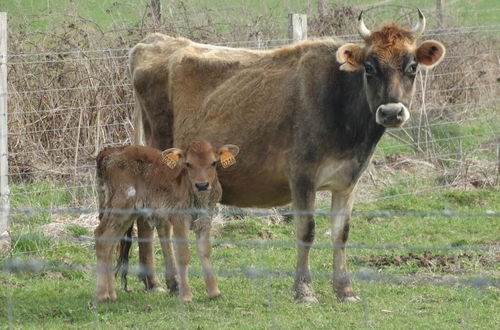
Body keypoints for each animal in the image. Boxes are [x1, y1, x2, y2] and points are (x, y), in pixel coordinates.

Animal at [96, 139, 242, 302]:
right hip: (120, 207)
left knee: (110, 244)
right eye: (188, 164)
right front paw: (186, 296)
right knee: (101, 236)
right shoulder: (179, 219)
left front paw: (214, 292)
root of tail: (108, 152)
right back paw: (102, 295)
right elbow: (183, 255)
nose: (202, 185)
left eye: (214, 162)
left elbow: (205, 251)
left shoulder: (205, 219)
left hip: (127, 215)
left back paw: (112, 294)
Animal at [129, 9, 446, 302]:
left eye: (412, 66)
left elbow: (341, 234)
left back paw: (153, 281)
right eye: (369, 67)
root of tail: (153, 41)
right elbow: (306, 232)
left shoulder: (348, 181)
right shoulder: (301, 176)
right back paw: (170, 283)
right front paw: (304, 290)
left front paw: (345, 289)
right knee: (161, 221)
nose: (391, 112)